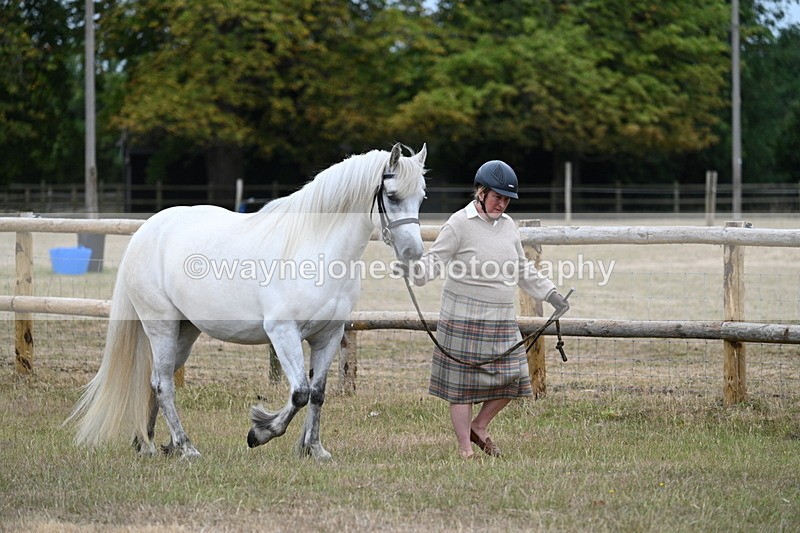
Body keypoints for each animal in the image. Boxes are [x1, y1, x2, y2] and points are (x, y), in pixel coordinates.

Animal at [65, 143, 427, 460]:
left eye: (421, 197)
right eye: (392, 196)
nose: (413, 255)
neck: (314, 248)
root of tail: (146, 231)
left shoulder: (329, 335)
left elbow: (317, 394)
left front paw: (313, 450)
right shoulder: (282, 332)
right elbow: (299, 392)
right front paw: (260, 432)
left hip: (186, 330)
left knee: (153, 381)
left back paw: (149, 444)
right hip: (161, 326)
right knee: (163, 384)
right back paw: (186, 448)